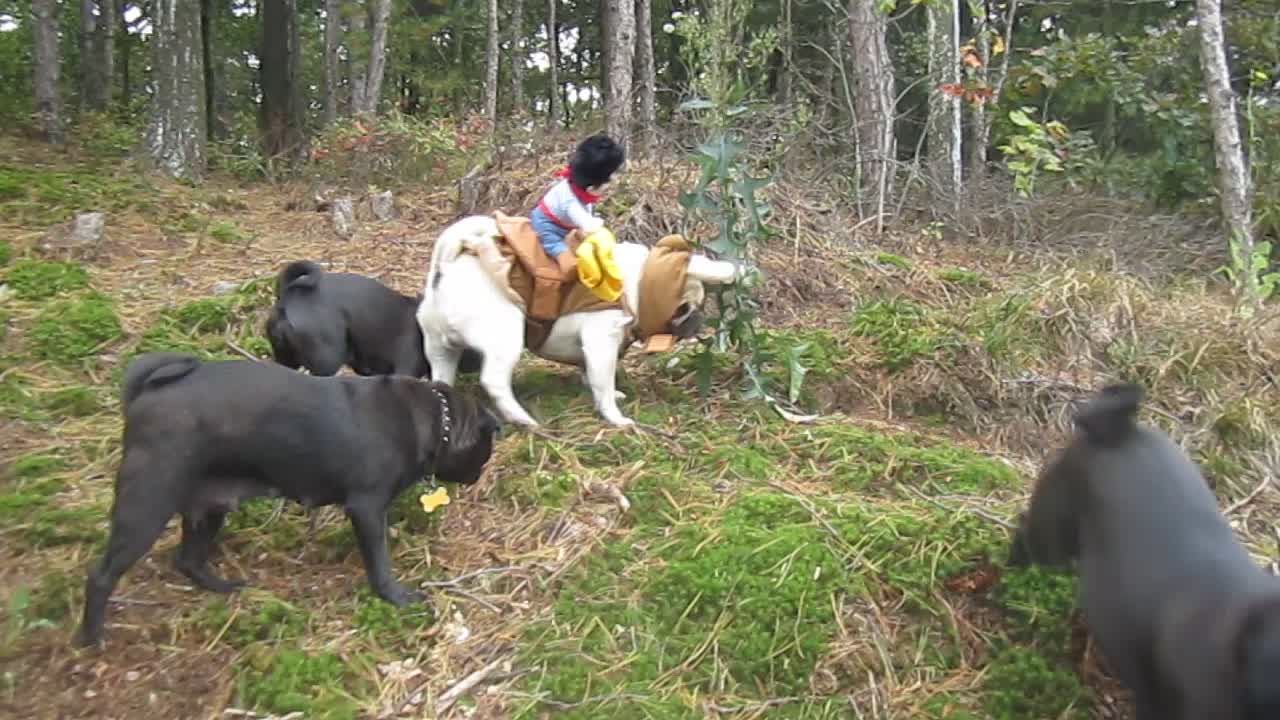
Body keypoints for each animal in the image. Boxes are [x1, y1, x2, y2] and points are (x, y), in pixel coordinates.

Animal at [72, 351, 496, 640]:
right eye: (485, 450)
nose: (478, 475)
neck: (431, 419)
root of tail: (147, 394)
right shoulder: (366, 508)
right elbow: (380, 563)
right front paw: (394, 596)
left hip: (209, 507)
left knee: (188, 559)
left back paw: (222, 587)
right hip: (146, 507)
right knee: (101, 576)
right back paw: (92, 638)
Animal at [417, 212, 742, 425]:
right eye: (682, 308)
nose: (696, 319)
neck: (634, 285)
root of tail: (448, 268)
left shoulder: (592, 350)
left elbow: (593, 377)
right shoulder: (602, 342)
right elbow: (604, 382)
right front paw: (615, 417)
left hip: (440, 349)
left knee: (442, 376)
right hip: (505, 336)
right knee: (494, 381)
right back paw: (521, 417)